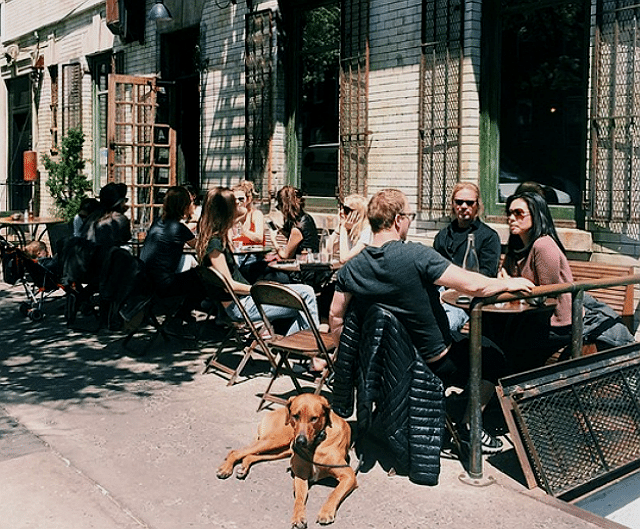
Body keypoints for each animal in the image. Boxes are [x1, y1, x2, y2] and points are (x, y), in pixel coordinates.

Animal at [218, 394, 358, 524]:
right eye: (295, 416)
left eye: (314, 418)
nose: (300, 441)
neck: (316, 443)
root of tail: (275, 410)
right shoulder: (301, 474)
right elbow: (299, 498)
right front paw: (298, 516)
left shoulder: (348, 475)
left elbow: (334, 493)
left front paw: (325, 512)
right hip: (276, 440)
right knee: (236, 452)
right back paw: (225, 469)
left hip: (282, 450)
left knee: (251, 455)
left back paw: (243, 469)